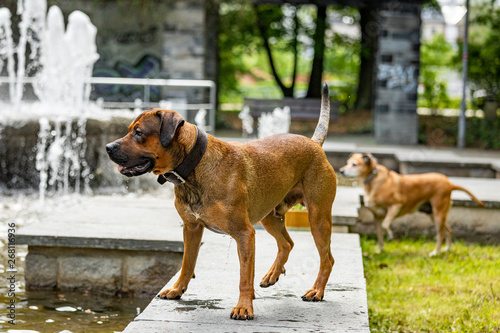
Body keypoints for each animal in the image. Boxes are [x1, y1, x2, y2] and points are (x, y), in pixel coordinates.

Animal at [107, 83, 338, 320]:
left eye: (139, 133)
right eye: (130, 129)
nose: (108, 147)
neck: (193, 167)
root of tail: (314, 143)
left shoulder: (244, 234)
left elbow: (244, 276)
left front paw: (244, 307)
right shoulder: (191, 228)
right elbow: (187, 263)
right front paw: (177, 289)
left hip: (318, 218)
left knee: (327, 259)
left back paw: (316, 290)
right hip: (269, 216)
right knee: (287, 243)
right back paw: (273, 274)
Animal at [340, 152, 484, 255]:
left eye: (354, 164)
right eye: (347, 163)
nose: (341, 170)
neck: (373, 180)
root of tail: (449, 182)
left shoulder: (396, 206)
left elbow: (386, 224)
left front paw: (390, 236)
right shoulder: (376, 217)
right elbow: (380, 236)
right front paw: (379, 250)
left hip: (438, 214)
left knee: (441, 235)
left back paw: (436, 252)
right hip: (434, 215)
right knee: (449, 230)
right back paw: (446, 249)